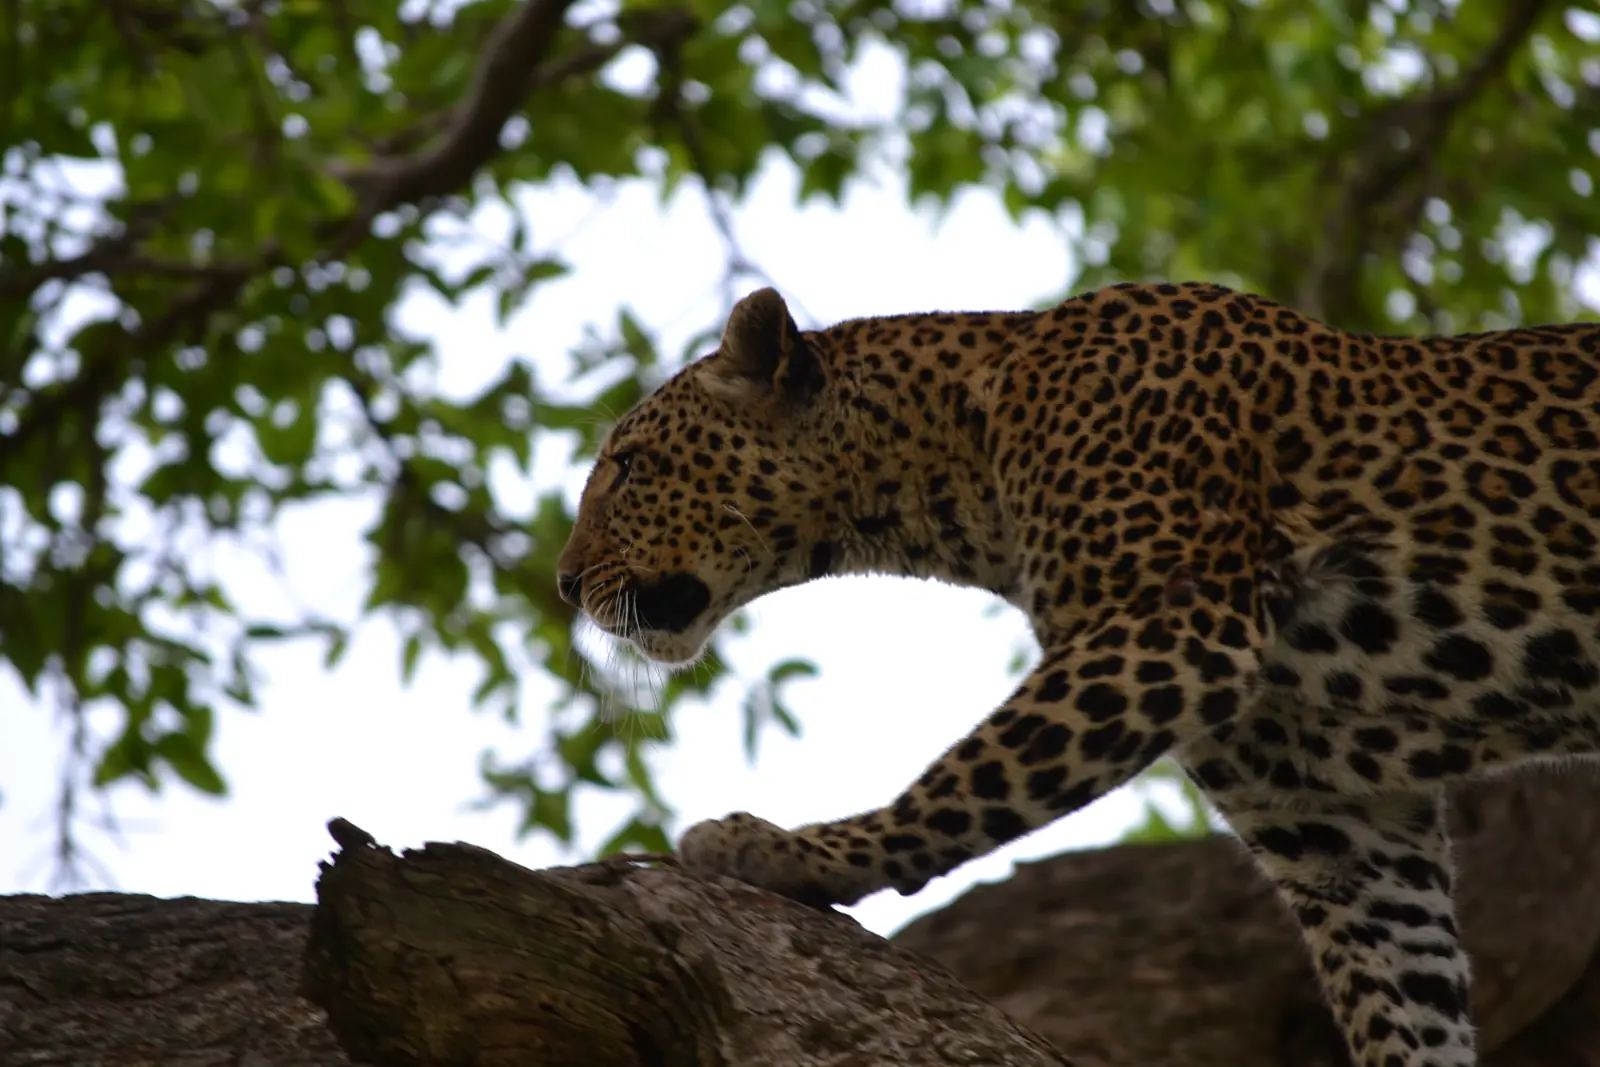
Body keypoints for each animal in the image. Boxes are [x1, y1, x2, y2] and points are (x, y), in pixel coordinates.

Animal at [555, 279, 1600, 1067]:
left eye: (627, 465)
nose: (564, 583)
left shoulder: (1166, 626)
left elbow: (966, 781)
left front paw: (790, 850)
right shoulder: (1333, 818)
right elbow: (1403, 995)